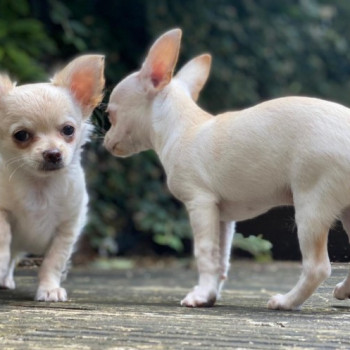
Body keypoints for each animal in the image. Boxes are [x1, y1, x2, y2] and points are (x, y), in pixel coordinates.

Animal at [0, 54, 104, 300]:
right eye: (21, 135)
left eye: (68, 130)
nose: (53, 153)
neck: (40, 186)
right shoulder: (2, 211)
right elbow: (3, 236)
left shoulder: (67, 227)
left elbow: (54, 261)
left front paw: (49, 289)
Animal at [105, 28, 350, 310]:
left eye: (110, 115)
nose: (106, 141)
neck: (181, 127)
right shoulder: (223, 216)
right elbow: (221, 258)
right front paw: (210, 294)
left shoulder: (200, 203)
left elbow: (204, 252)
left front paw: (200, 295)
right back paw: (344, 290)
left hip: (311, 205)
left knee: (317, 267)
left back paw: (286, 301)